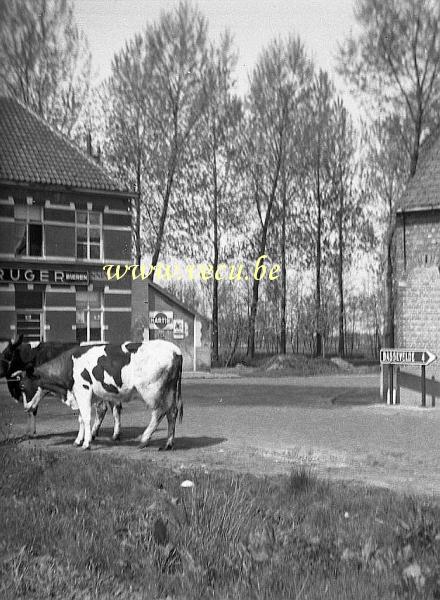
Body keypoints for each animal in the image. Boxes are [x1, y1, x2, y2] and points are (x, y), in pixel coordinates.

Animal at [19, 342, 182, 450]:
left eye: (22, 386)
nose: (26, 408)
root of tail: (175, 350)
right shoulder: (80, 395)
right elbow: (80, 419)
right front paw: (78, 440)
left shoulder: (83, 391)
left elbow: (86, 418)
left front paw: (86, 443)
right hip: (170, 390)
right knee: (172, 412)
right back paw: (168, 443)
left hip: (151, 390)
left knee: (159, 412)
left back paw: (144, 439)